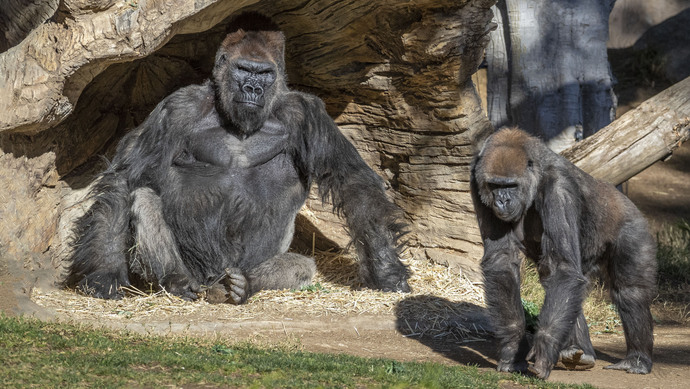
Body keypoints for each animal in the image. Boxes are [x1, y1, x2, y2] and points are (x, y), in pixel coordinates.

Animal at [63, 12, 408, 304]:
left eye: (265, 74)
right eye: (243, 69)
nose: (253, 88)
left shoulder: (307, 112)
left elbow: (351, 181)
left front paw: (386, 267)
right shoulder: (177, 108)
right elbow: (126, 179)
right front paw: (105, 271)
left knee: (301, 266)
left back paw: (244, 284)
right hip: (199, 273)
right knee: (144, 199)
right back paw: (178, 281)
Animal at [468, 128, 656, 378]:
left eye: (511, 186)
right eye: (494, 186)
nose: (502, 201)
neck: (536, 176)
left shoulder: (559, 188)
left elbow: (563, 269)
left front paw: (545, 346)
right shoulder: (475, 179)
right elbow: (503, 261)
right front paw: (513, 347)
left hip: (633, 225)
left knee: (629, 291)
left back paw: (637, 359)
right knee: (560, 283)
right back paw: (578, 351)